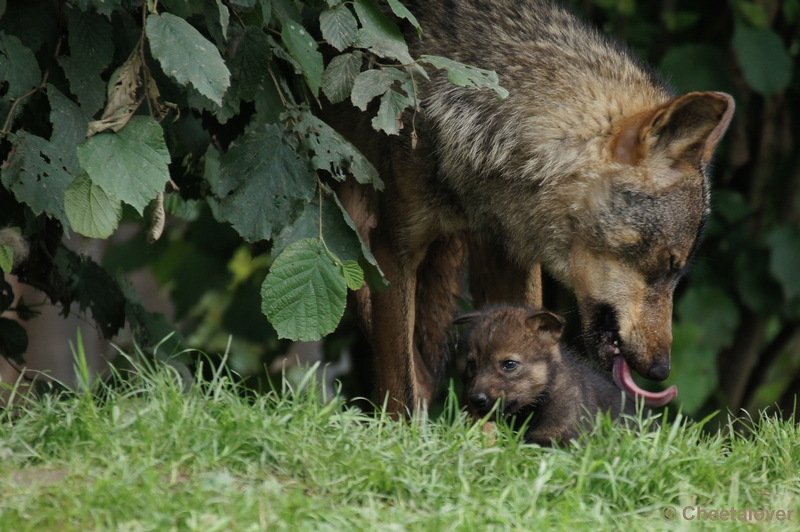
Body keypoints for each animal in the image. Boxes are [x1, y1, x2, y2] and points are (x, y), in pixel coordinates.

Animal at [328, 0, 736, 412]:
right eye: (668, 266)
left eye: (677, 272)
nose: (661, 370)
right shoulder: (394, 250)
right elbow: (401, 388)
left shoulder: (509, 258)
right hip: (350, 238)